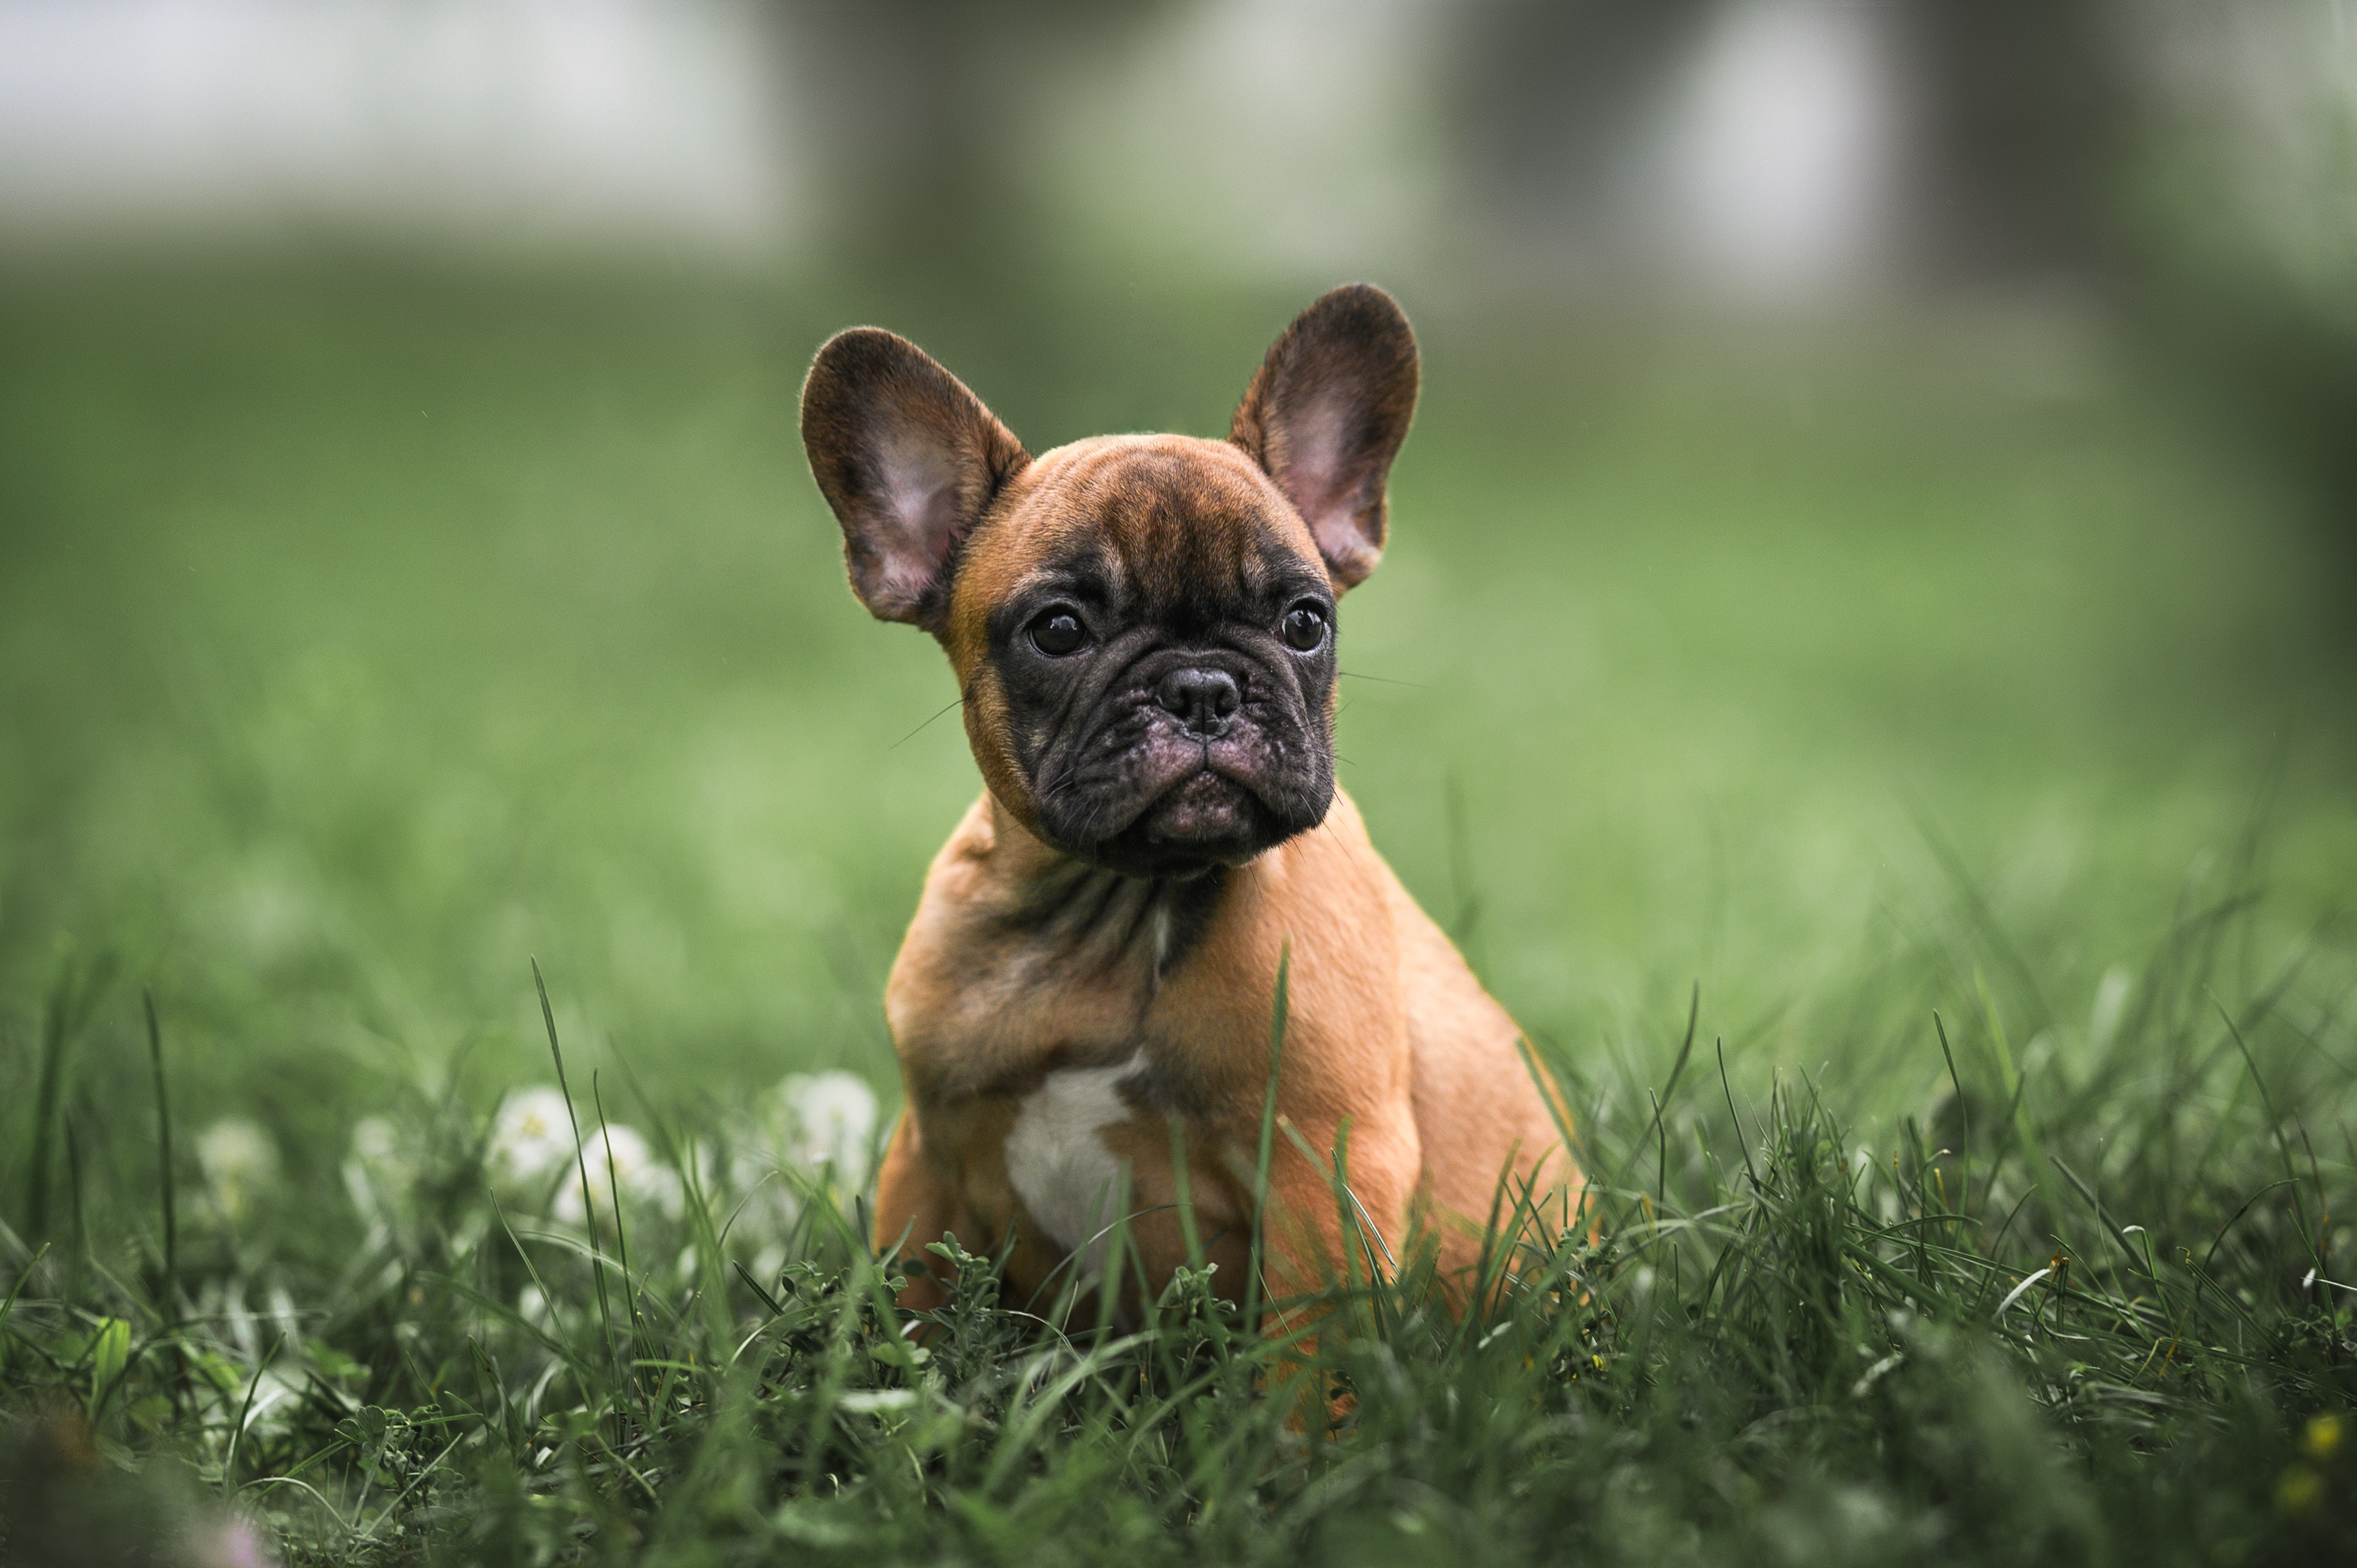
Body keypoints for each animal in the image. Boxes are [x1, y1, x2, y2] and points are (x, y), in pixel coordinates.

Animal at [796, 284, 1584, 1320]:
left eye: (1305, 622)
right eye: (1058, 631)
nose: (1204, 687)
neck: (1121, 910)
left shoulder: (1325, 1179)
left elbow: (1309, 1350)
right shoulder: (922, 1169)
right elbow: (914, 1317)